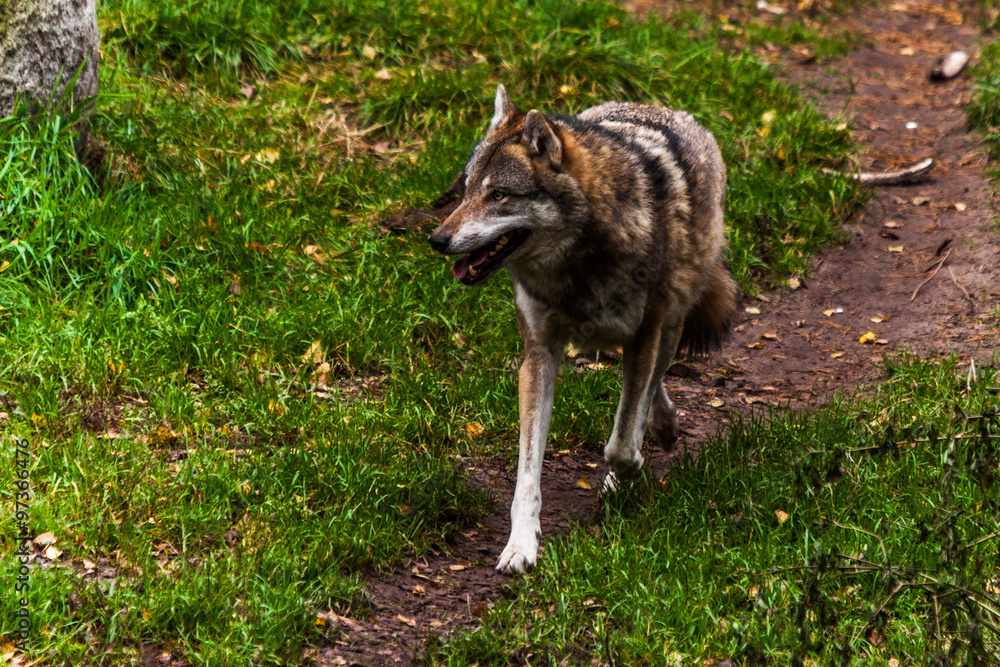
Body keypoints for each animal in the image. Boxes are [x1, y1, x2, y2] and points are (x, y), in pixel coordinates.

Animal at [428, 85, 739, 574]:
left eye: (499, 195)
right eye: (466, 189)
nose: (437, 241)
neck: (574, 269)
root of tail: (660, 108)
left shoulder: (645, 336)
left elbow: (621, 443)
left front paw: (626, 472)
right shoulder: (538, 356)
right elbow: (527, 475)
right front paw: (520, 546)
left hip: (669, 325)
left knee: (652, 382)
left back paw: (655, 434)